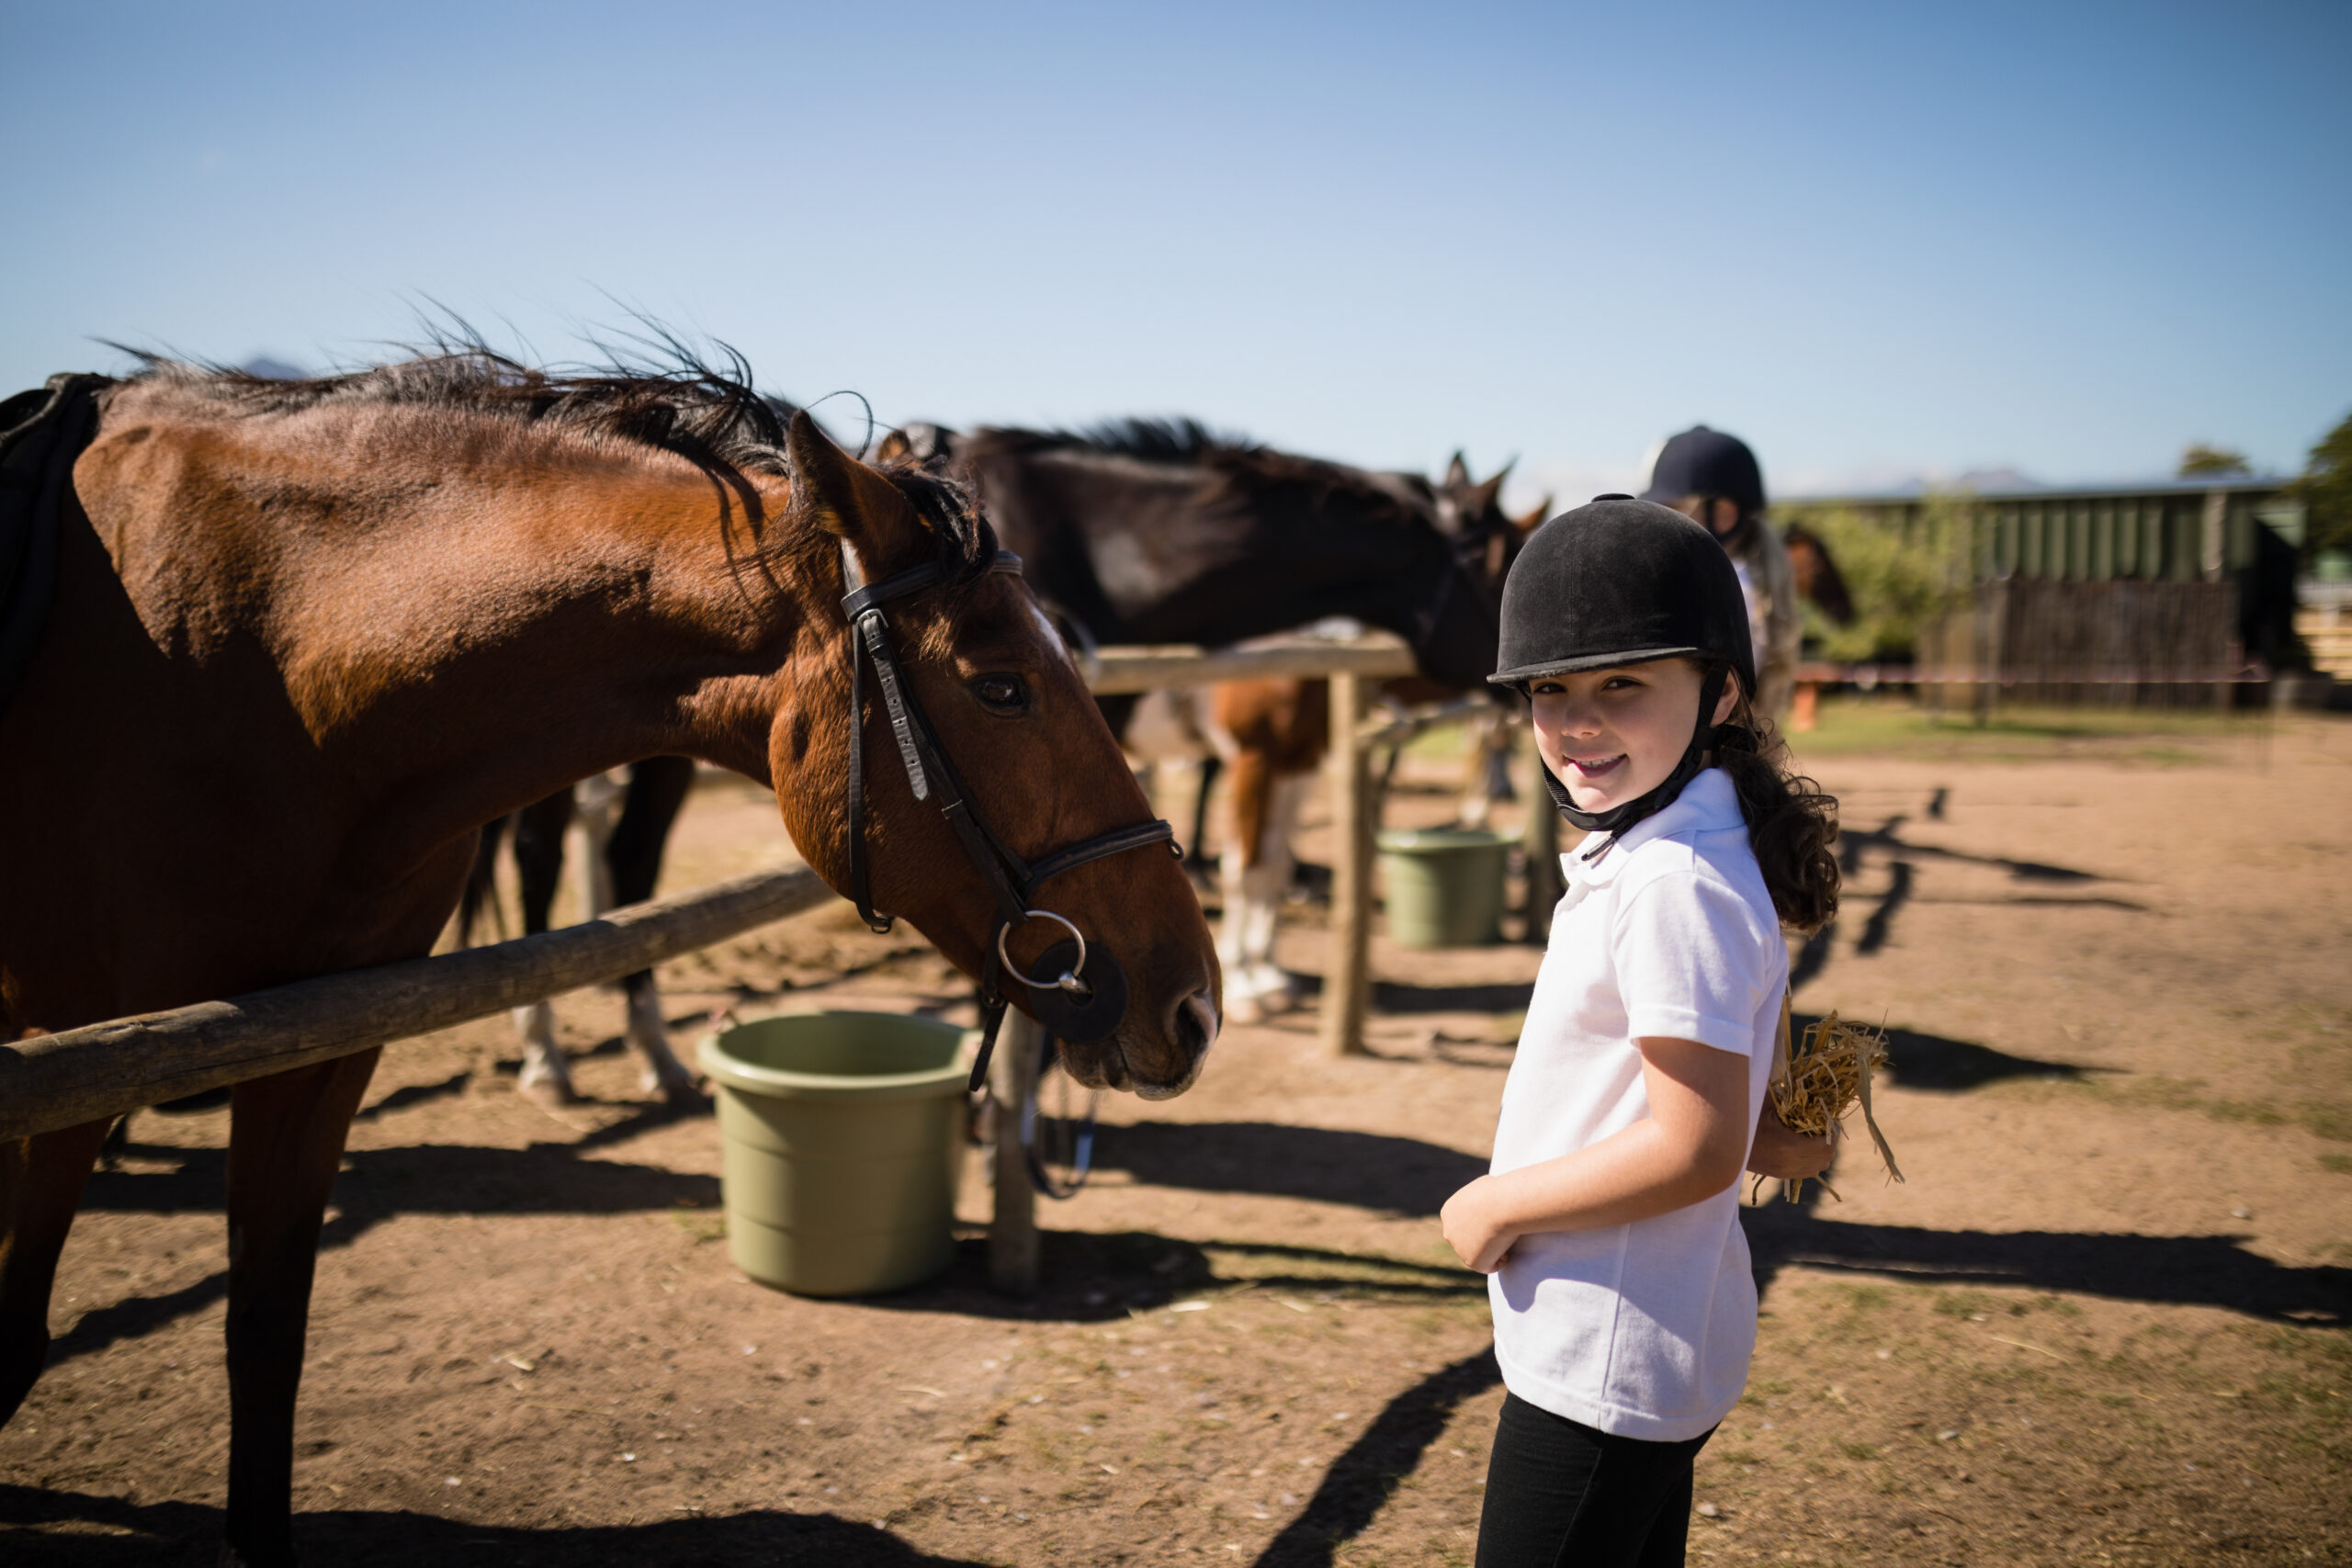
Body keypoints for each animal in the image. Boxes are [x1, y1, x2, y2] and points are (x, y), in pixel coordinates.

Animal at [0, 351, 1219, 1567]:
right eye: (999, 685)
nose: (1193, 1003)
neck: (269, 668)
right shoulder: (63, 1049)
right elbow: (23, 1333)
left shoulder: (317, 1049)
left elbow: (263, 1335)